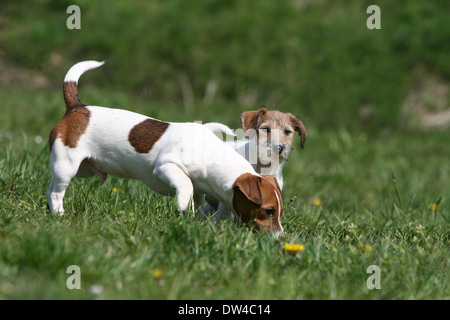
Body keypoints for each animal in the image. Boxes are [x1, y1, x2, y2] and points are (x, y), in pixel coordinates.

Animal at [46, 60, 284, 235]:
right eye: (268, 211)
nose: (280, 237)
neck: (211, 155)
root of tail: (77, 107)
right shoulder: (166, 165)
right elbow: (186, 185)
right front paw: (183, 208)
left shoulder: (201, 190)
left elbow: (198, 203)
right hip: (67, 165)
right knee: (57, 193)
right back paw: (60, 216)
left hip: (83, 169)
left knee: (50, 190)